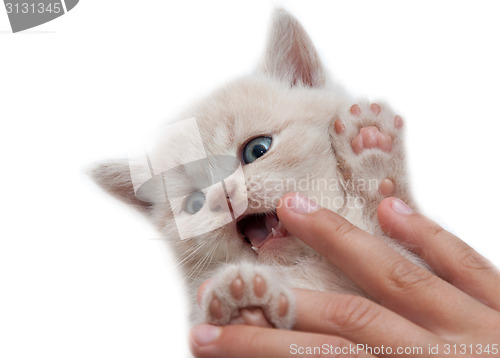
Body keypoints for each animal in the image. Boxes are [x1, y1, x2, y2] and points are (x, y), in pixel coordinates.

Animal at [90, 9, 422, 330]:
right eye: (195, 203)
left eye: (257, 150)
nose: (223, 196)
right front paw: (243, 303)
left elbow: (387, 231)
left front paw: (375, 158)